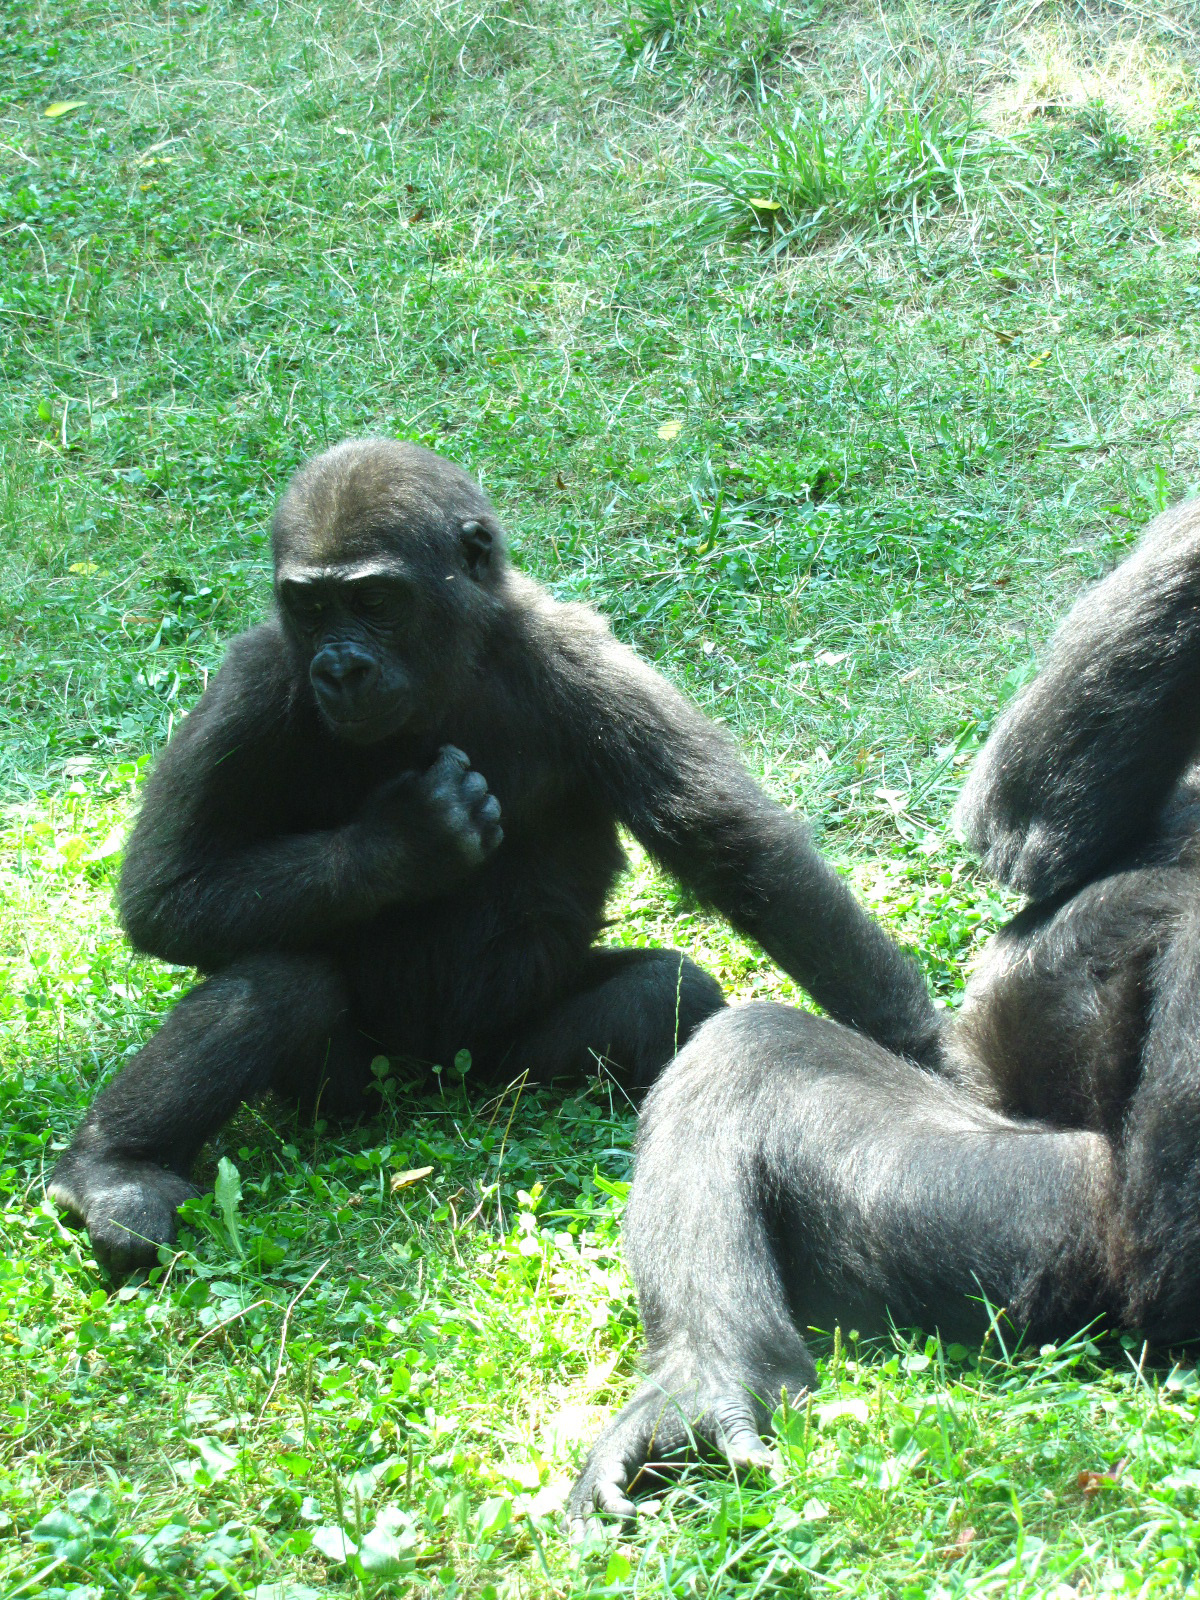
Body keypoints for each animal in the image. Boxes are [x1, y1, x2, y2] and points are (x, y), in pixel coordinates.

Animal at [51, 438, 947, 1273]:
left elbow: (733, 848)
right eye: (309, 607)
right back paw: (113, 1166)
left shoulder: (583, 660)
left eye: (373, 601)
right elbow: (169, 894)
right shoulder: (255, 678)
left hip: (501, 1062)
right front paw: (403, 842)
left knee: (665, 992)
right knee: (277, 983)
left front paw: (925, 1061)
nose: (339, 668)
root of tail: (435, 1084)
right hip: (354, 1092)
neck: (448, 661)